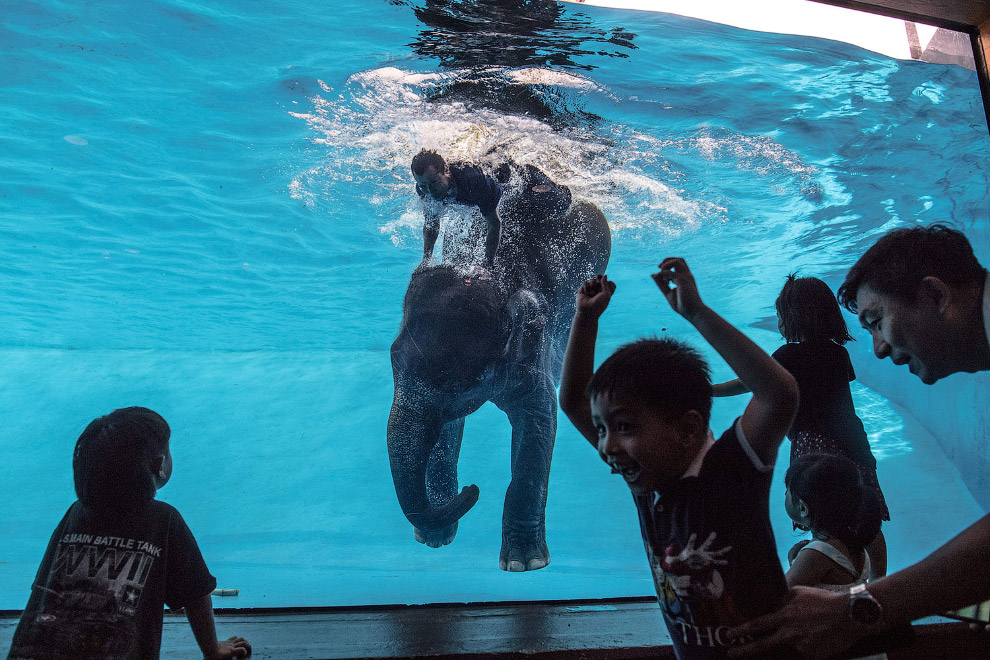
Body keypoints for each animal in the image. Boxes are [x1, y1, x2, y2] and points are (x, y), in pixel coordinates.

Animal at [388, 187, 612, 572]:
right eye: (391, 360)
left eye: (453, 383)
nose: (473, 489)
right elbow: (446, 430)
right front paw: (435, 539)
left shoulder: (531, 352)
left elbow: (538, 424)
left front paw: (525, 563)